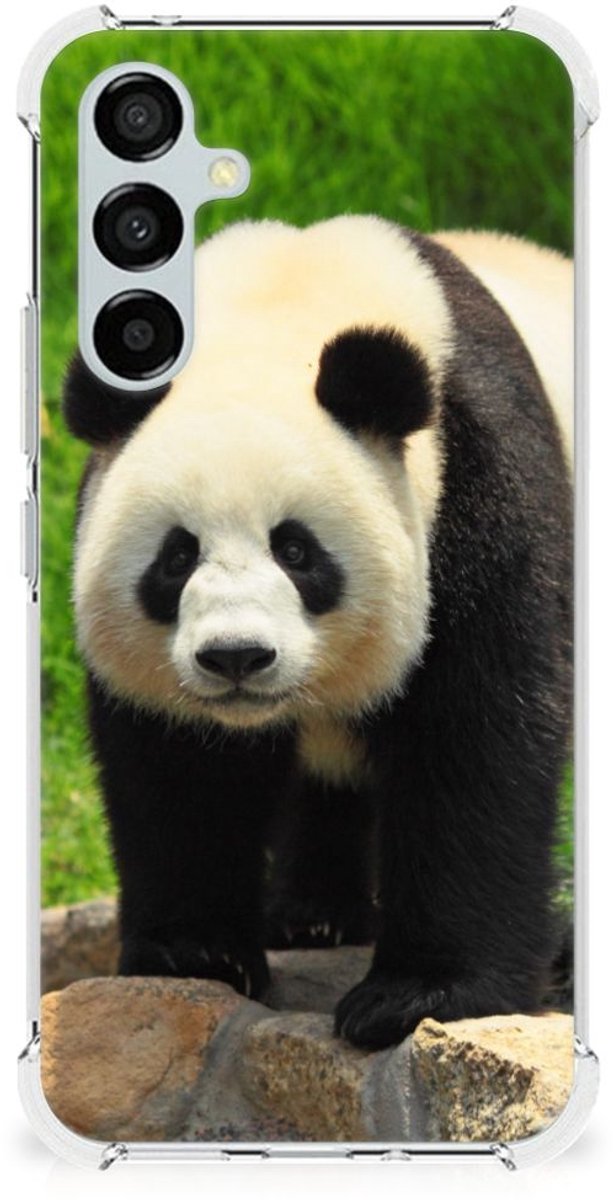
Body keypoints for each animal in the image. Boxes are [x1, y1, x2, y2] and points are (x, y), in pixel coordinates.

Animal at [64, 216, 573, 1050]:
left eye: (296, 550)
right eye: (176, 557)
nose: (236, 657)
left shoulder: (479, 487)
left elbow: (476, 738)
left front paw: (418, 995)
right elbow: (180, 768)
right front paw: (194, 952)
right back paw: (312, 916)